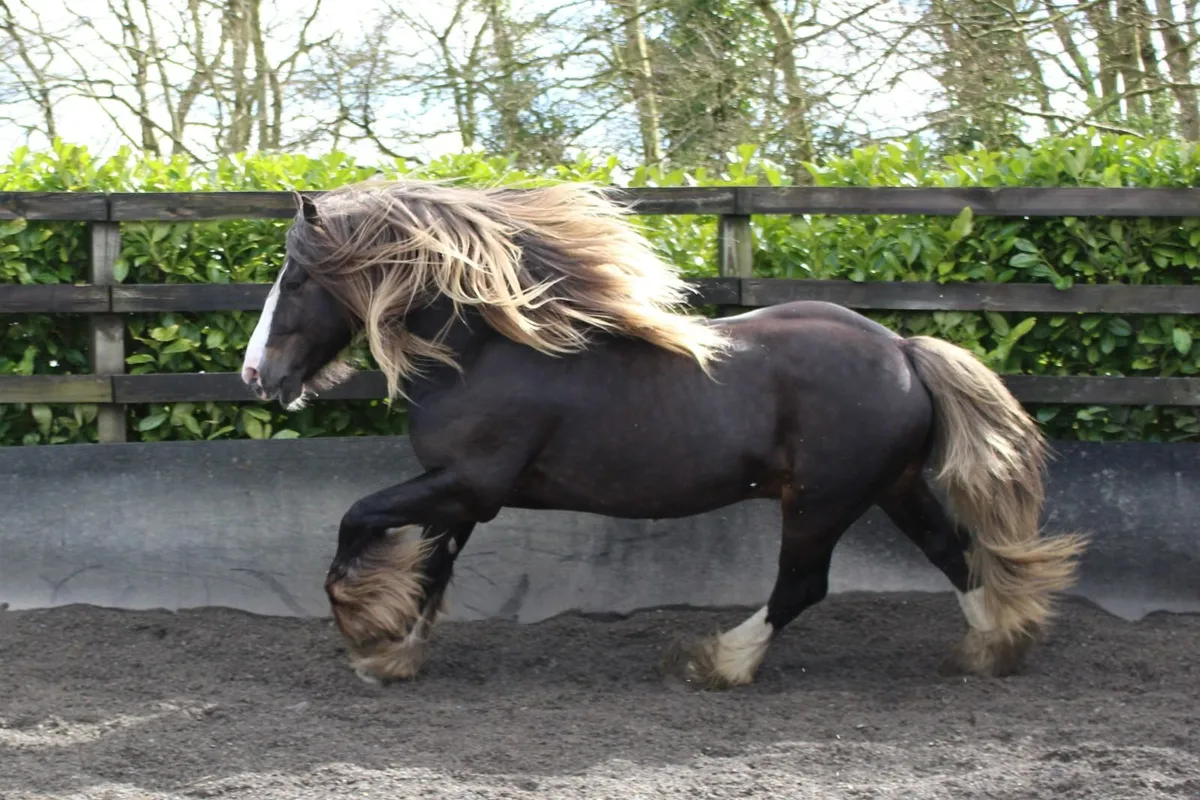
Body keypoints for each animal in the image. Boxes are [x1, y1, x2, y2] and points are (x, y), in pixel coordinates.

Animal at [239, 178, 1086, 690]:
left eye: (297, 278)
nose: (256, 374)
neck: (484, 350)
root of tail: (905, 351)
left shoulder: (466, 485)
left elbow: (358, 522)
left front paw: (361, 631)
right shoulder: (464, 498)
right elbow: (429, 572)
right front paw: (393, 653)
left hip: (821, 501)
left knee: (803, 585)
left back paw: (718, 662)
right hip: (893, 487)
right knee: (956, 554)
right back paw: (993, 650)